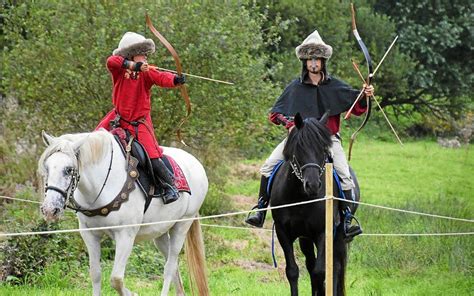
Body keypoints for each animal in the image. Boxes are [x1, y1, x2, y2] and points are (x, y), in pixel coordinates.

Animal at [39, 131, 210, 296]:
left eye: (68, 169)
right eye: (46, 168)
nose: (49, 209)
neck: (101, 184)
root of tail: (196, 164)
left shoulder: (125, 235)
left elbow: (116, 279)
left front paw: (132, 294)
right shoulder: (89, 234)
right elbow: (95, 274)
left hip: (182, 225)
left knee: (169, 267)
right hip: (160, 231)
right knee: (172, 266)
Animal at [270, 112, 360, 296]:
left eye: (323, 150)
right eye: (299, 148)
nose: (312, 185)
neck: (301, 198)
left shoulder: (324, 232)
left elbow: (321, 272)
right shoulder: (284, 232)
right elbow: (293, 271)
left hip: (338, 236)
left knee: (335, 267)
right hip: (306, 238)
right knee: (311, 264)